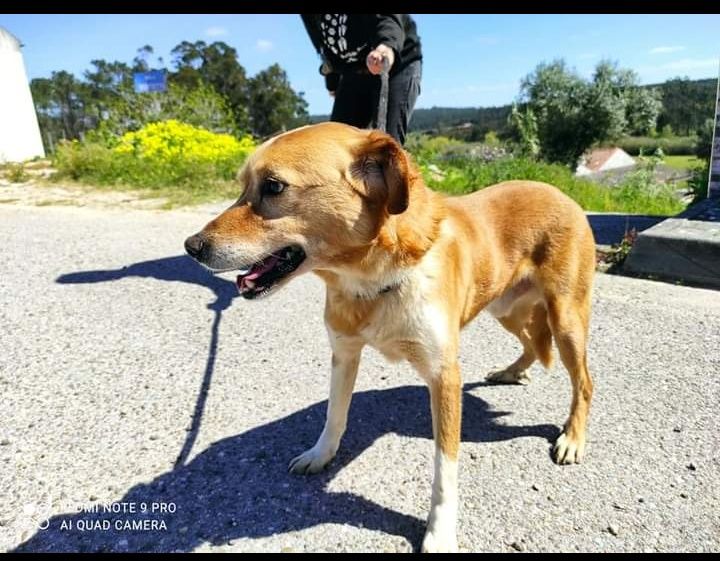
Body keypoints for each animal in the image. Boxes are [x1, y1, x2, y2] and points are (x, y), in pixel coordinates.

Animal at [186, 121, 596, 552]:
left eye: (273, 187)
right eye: (243, 186)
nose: (192, 246)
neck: (370, 280)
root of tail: (557, 191)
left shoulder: (444, 377)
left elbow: (444, 469)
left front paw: (440, 532)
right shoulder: (344, 354)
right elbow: (334, 415)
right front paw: (321, 454)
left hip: (565, 319)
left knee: (584, 381)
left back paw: (572, 437)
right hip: (506, 309)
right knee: (532, 343)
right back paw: (511, 372)